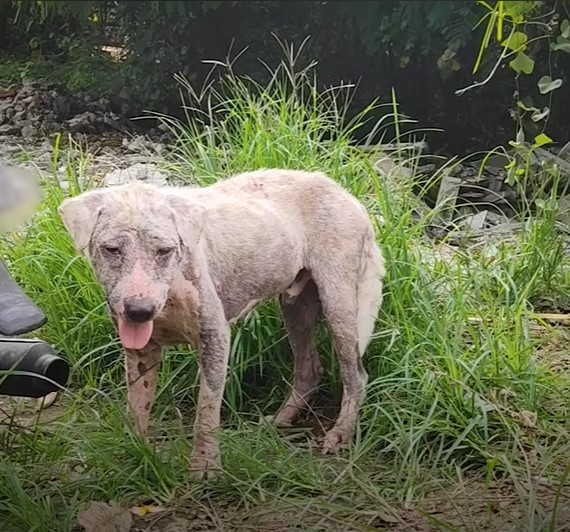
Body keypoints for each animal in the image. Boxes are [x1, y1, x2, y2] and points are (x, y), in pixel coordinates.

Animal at [58, 169, 382, 478]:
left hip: (339, 301)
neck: (172, 291)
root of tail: (344, 193)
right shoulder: (141, 351)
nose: (140, 311)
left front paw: (206, 466)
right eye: (111, 249)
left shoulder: (215, 338)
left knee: (355, 375)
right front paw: (134, 455)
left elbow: (206, 410)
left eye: (164, 250)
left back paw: (340, 433)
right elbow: (137, 407)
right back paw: (280, 420)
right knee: (309, 369)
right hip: (295, 306)